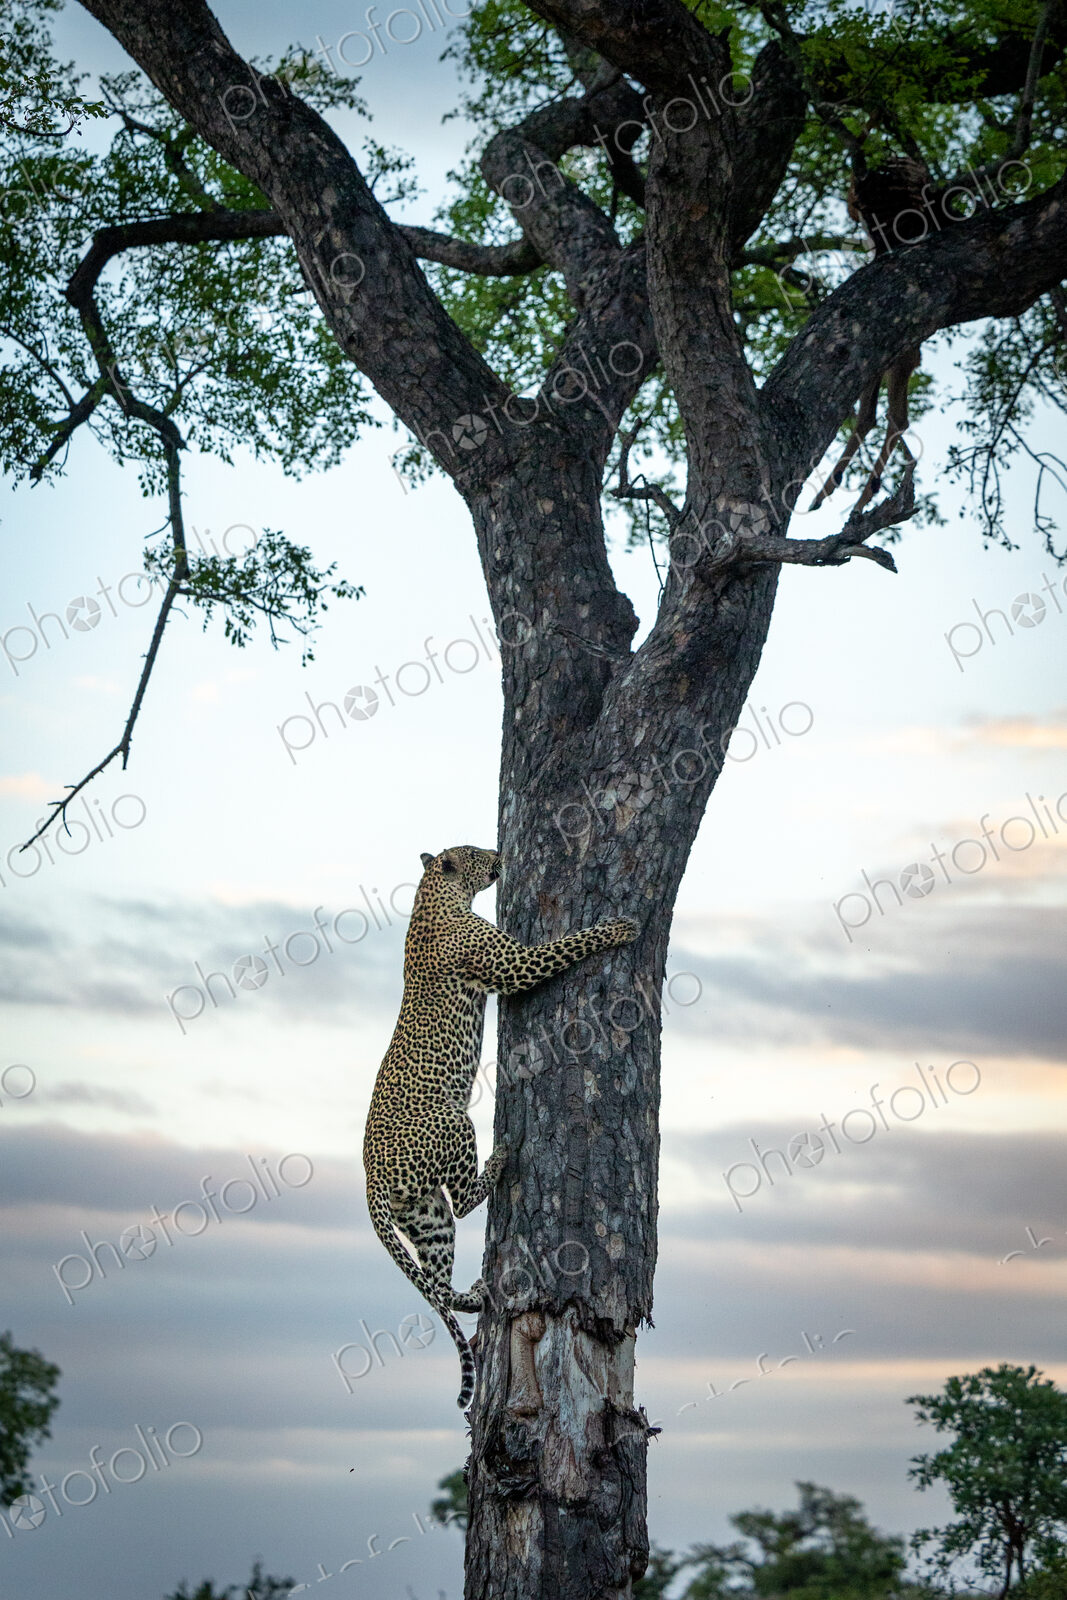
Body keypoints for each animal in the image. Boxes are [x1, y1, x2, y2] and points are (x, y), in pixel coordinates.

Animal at [363, 843, 637, 1410]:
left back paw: (473, 1295)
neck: (434, 897)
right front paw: (619, 927)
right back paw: (503, 1154)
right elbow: (568, 943)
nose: (498, 853)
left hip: (424, 1215)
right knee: (466, 1199)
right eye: (471, 852)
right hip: (452, 1121)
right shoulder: (514, 965)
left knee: (437, 1279)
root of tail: (370, 1178)